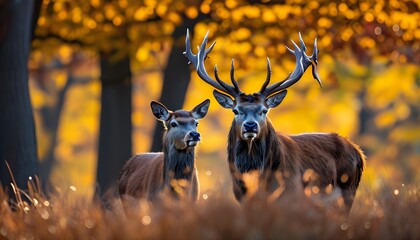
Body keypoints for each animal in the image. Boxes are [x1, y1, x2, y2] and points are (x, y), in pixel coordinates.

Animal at [184, 30, 364, 212]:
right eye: (236, 110)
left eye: (264, 110)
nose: (250, 125)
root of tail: (358, 153)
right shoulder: (242, 198)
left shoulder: (291, 196)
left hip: (346, 191)